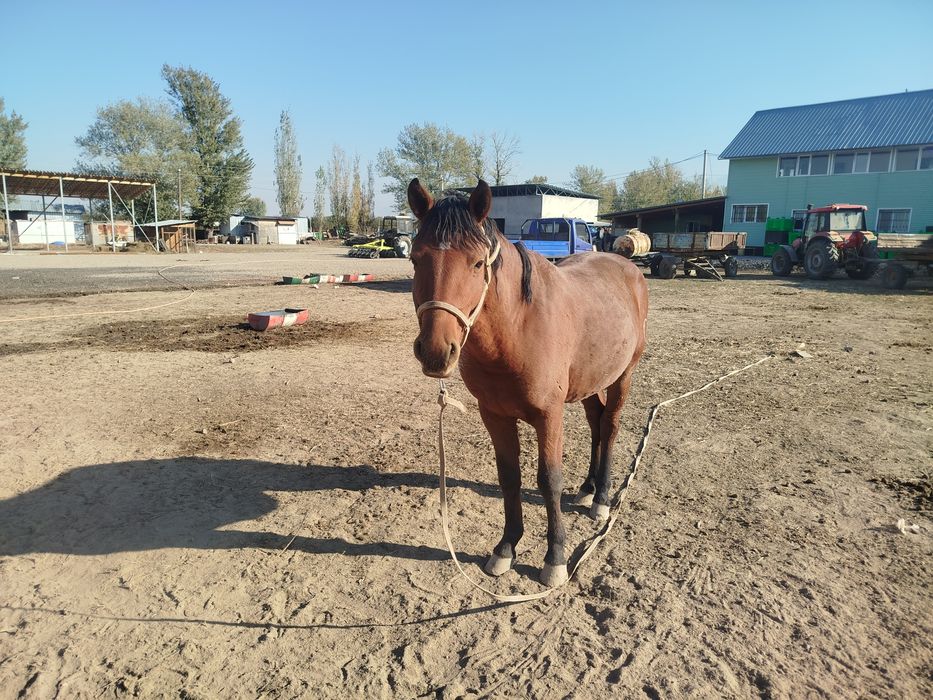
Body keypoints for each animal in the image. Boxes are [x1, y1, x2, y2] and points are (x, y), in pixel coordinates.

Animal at [408, 178, 648, 586]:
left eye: (477, 262)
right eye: (415, 258)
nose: (437, 352)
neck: (517, 329)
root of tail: (626, 265)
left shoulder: (549, 416)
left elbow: (549, 480)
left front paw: (555, 559)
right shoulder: (495, 416)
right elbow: (509, 477)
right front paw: (506, 548)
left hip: (623, 376)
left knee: (611, 425)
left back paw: (602, 499)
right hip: (588, 381)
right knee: (597, 422)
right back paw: (587, 490)